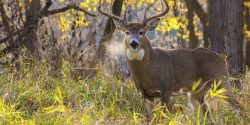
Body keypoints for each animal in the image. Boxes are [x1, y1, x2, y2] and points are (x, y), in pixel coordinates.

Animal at [97, 0, 242, 118]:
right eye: (127, 32)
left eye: (141, 32)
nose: (134, 43)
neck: (149, 69)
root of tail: (222, 57)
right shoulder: (146, 94)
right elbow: (149, 118)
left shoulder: (166, 88)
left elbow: (164, 116)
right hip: (199, 91)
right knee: (207, 112)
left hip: (221, 80)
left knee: (238, 105)